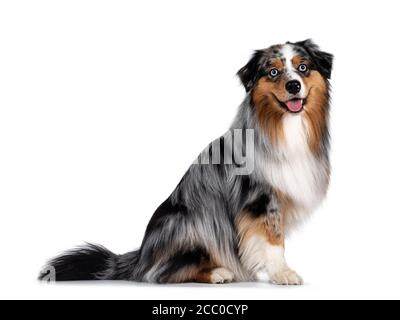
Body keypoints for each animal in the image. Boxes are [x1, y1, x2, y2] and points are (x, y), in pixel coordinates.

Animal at [40, 40, 332, 284]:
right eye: (272, 72)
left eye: (303, 67)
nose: (293, 86)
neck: (285, 126)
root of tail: (140, 256)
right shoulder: (259, 199)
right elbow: (273, 241)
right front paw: (284, 273)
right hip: (189, 221)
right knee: (161, 273)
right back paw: (218, 273)